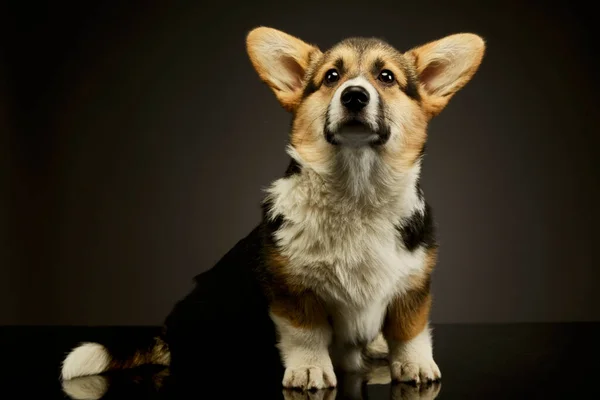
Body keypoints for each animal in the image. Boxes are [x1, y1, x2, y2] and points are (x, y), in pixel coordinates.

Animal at [59, 26, 482, 392]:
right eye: (331, 77)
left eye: (387, 77)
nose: (354, 96)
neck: (357, 193)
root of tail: (170, 332)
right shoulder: (291, 290)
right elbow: (306, 334)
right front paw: (310, 370)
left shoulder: (412, 287)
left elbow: (410, 331)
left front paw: (415, 365)